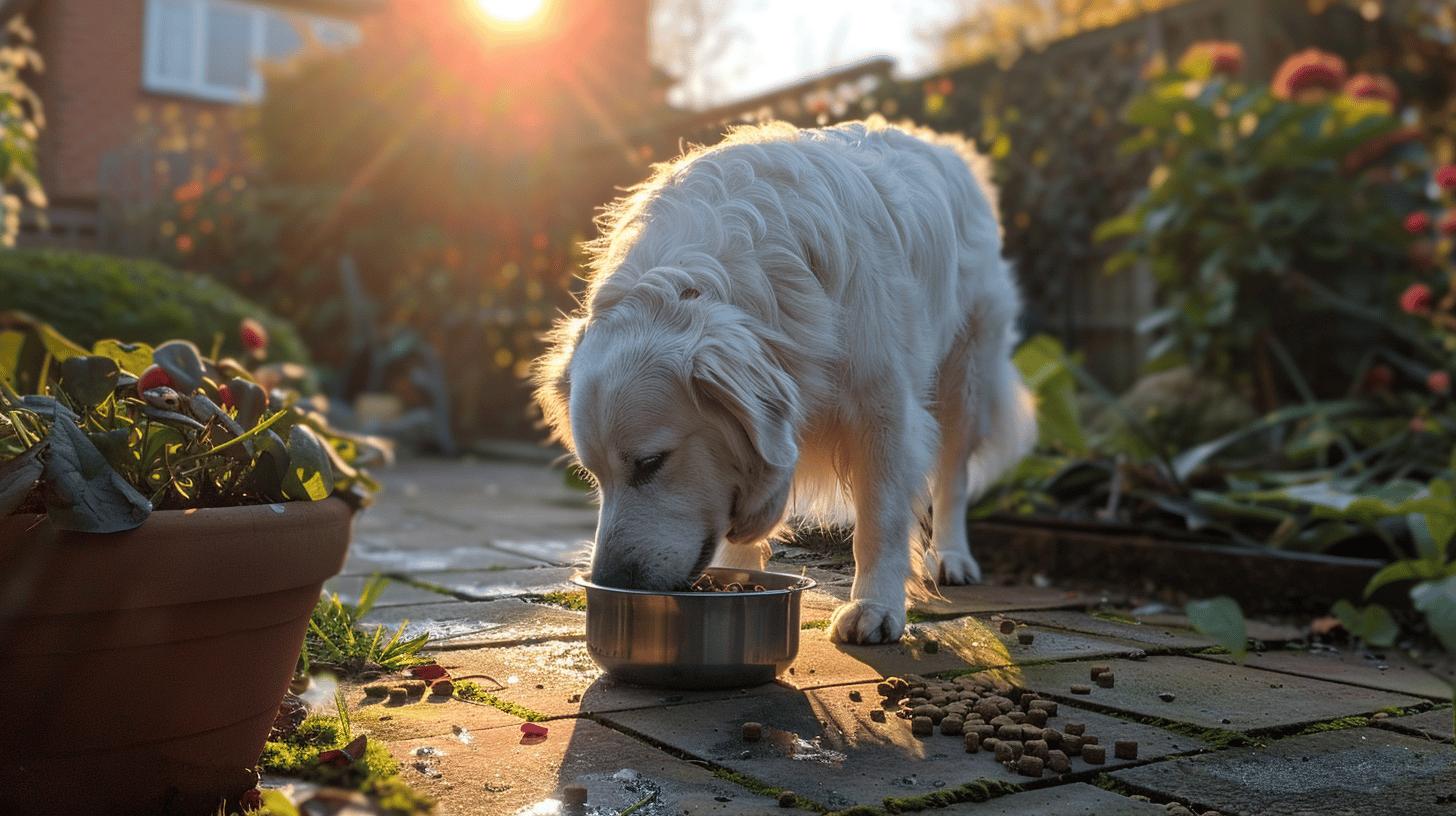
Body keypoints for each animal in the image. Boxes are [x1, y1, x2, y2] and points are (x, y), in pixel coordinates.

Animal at [535, 118, 1036, 646]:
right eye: (593, 475)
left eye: (651, 463)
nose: (608, 581)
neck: (699, 285)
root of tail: (944, 144)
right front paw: (738, 573)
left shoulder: (884, 409)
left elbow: (879, 518)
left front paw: (875, 607)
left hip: (967, 374)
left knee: (953, 474)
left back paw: (953, 558)